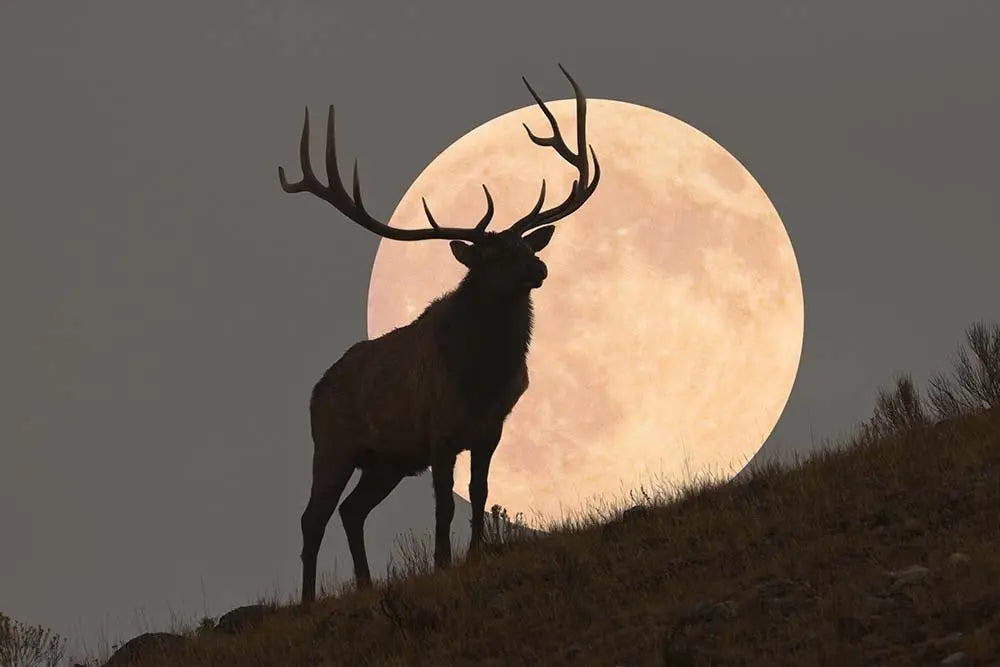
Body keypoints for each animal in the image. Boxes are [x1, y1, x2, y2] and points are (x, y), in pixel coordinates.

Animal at [277, 65, 601, 604]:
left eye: (524, 245)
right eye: (491, 255)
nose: (538, 268)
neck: (482, 375)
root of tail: (315, 390)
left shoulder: (489, 429)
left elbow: (480, 494)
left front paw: (473, 555)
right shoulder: (440, 432)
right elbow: (444, 507)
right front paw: (442, 563)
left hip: (385, 461)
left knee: (351, 511)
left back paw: (365, 584)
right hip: (333, 444)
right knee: (312, 518)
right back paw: (306, 600)